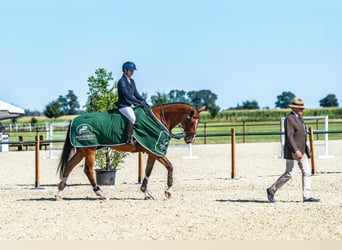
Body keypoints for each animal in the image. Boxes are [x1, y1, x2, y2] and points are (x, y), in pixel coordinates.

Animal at [55, 102, 206, 200]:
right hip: (90, 150)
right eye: (191, 121)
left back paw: (59, 193)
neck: (158, 118)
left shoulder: (152, 152)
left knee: (69, 166)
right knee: (88, 170)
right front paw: (168, 191)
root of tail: (74, 120)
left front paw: (145, 193)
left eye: (198, 122)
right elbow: (170, 166)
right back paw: (100, 193)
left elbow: (148, 171)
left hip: (82, 151)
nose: (190, 139)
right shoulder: (155, 150)